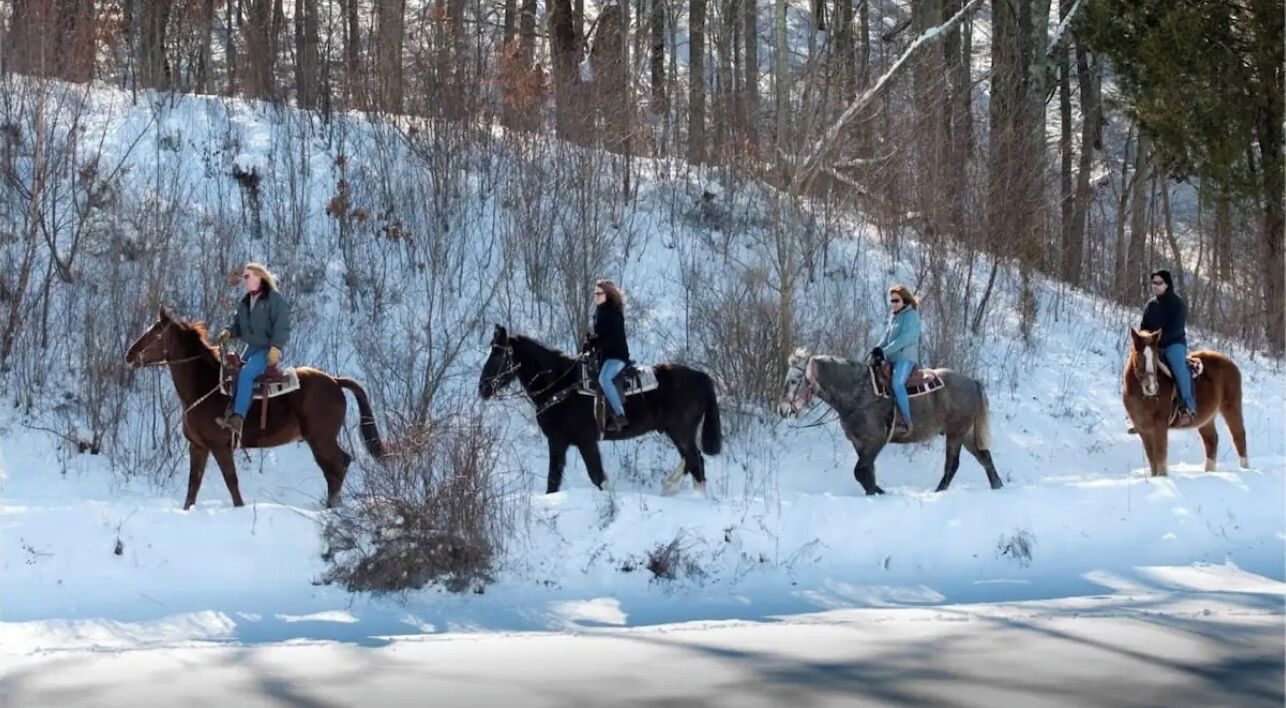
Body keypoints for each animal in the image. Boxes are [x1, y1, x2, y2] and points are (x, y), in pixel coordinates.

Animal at [125, 308, 387, 509]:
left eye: (154, 333)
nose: (129, 355)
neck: (204, 386)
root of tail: (335, 380)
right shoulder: (198, 447)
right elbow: (193, 486)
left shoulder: (220, 447)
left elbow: (232, 483)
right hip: (318, 440)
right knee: (333, 469)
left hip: (321, 439)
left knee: (339, 465)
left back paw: (333, 505)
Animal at [478, 325, 722, 495]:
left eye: (498, 355)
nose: (482, 388)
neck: (562, 385)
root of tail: (703, 378)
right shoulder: (558, 442)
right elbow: (553, 482)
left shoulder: (586, 442)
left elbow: (597, 477)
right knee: (693, 462)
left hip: (681, 432)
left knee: (695, 462)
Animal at [778, 347, 1003, 494]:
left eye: (794, 381)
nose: (782, 409)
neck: (858, 392)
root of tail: (972, 382)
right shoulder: (859, 443)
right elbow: (868, 472)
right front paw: (876, 491)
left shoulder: (876, 440)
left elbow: (860, 471)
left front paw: (878, 492)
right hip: (966, 433)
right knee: (984, 457)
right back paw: (997, 485)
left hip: (956, 433)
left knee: (952, 464)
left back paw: (939, 491)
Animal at [1123, 328, 1248, 476]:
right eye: (1138, 355)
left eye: (1154, 357)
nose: (1151, 387)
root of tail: (1231, 364)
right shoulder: (1143, 430)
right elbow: (1152, 460)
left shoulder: (1160, 425)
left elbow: (1160, 456)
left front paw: (1162, 477)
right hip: (1206, 419)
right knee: (1211, 440)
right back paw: (1209, 472)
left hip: (1231, 408)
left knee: (1239, 437)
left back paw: (1245, 469)